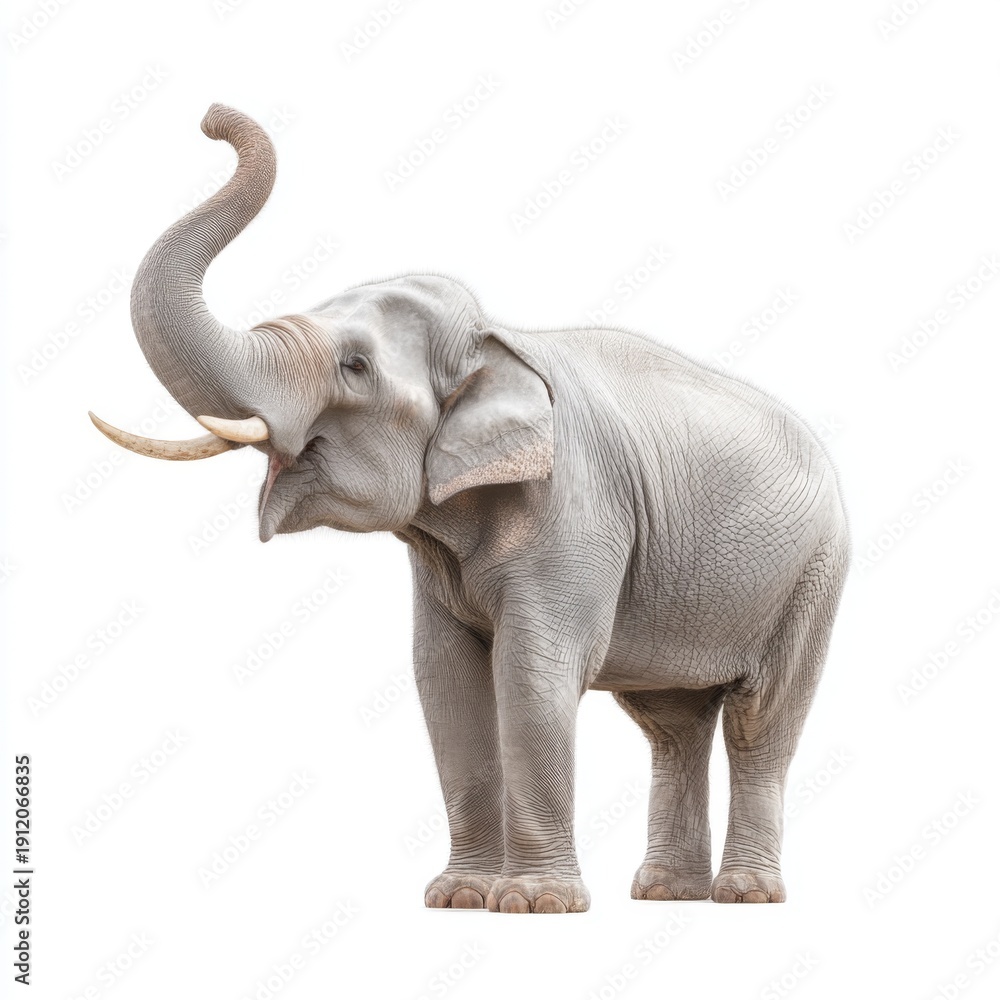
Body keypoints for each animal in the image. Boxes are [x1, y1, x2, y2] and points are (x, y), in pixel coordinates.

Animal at [91, 104, 850, 913]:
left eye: (354, 366)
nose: (210, 119)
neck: (499, 340)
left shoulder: (577, 509)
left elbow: (532, 671)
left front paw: (535, 906)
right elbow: (444, 677)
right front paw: (459, 899)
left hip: (813, 574)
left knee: (761, 718)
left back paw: (745, 894)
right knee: (671, 724)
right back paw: (665, 893)